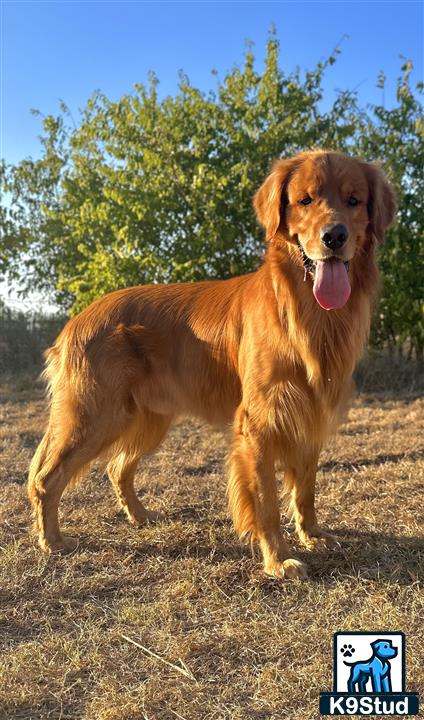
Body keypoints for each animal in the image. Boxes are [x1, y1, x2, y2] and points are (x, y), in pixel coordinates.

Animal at [28, 149, 396, 576]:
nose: (333, 237)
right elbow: (266, 502)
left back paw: (141, 517)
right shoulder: (260, 423)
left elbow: (305, 489)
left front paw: (313, 535)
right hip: (94, 416)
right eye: (305, 200)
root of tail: (75, 322)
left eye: (354, 201)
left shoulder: (310, 414)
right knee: (47, 479)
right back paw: (52, 542)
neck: (303, 313)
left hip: (146, 420)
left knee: (117, 468)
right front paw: (278, 559)